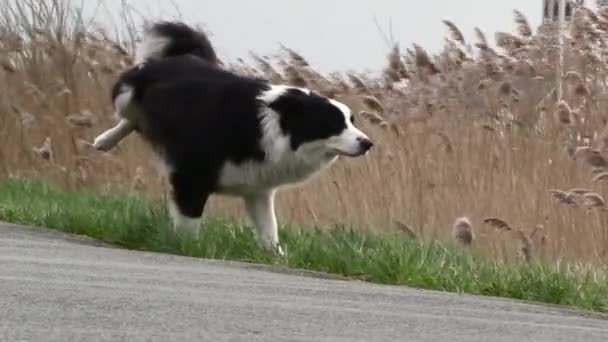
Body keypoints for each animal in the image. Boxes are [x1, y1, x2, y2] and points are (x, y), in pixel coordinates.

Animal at [93, 20, 372, 251]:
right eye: (334, 124)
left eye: (351, 121)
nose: (368, 143)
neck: (275, 128)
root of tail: (186, 56)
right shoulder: (191, 175)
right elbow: (189, 221)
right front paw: (187, 247)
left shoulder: (258, 188)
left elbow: (269, 229)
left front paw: (276, 255)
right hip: (126, 97)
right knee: (130, 117)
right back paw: (104, 140)